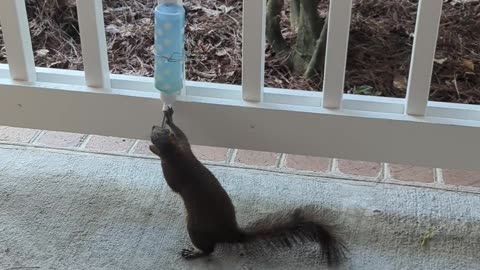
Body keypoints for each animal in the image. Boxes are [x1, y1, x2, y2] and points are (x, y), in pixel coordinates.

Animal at [148, 107, 346, 266]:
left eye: (155, 135)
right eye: (161, 129)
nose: (152, 126)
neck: (176, 154)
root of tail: (231, 233)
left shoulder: (173, 171)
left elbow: (173, 186)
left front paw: (154, 150)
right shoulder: (184, 146)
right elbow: (183, 135)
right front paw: (170, 116)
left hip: (196, 228)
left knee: (209, 249)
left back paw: (193, 253)